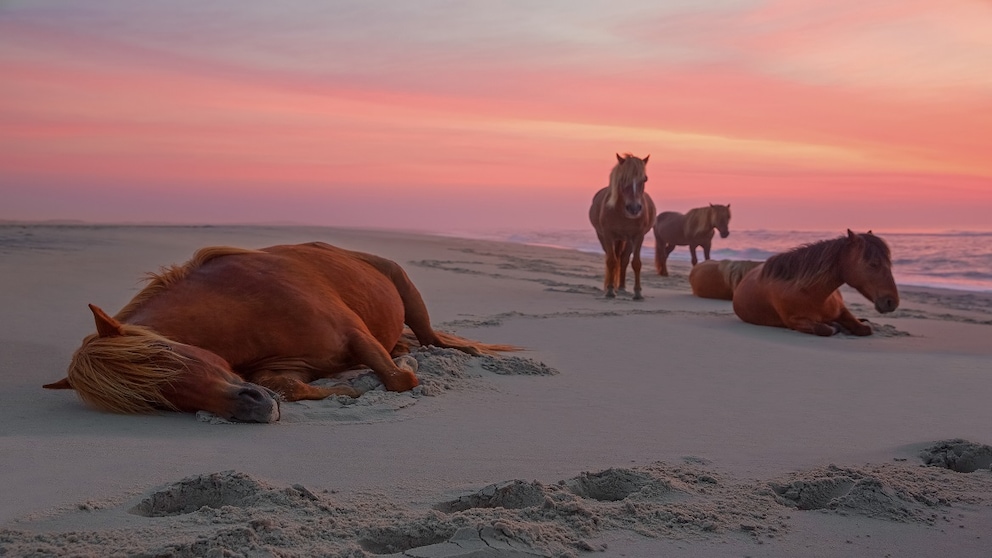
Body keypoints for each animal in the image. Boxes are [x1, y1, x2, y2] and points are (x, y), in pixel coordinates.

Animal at [44, 243, 520, 422]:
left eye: (167, 355)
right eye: (153, 402)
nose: (251, 410)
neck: (244, 309)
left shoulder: (356, 336)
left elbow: (399, 379)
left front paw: (403, 368)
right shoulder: (283, 368)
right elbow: (291, 389)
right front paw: (349, 391)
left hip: (407, 293)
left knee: (431, 338)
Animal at [588, 153, 660, 302]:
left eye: (645, 179)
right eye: (622, 178)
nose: (634, 208)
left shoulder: (638, 236)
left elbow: (636, 263)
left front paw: (638, 293)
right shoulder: (608, 235)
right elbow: (611, 261)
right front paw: (610, 290)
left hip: (627, 240)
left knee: (624, 259)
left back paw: (621, 287)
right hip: (605, 237)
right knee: (613, 258)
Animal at [728, 231, 900, 336]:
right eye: (873, 264)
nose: (891, 302)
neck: (813, 294)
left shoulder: (842, 311)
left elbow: (864, 329)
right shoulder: (795, 321)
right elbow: (825, 329)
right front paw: (835, 326)